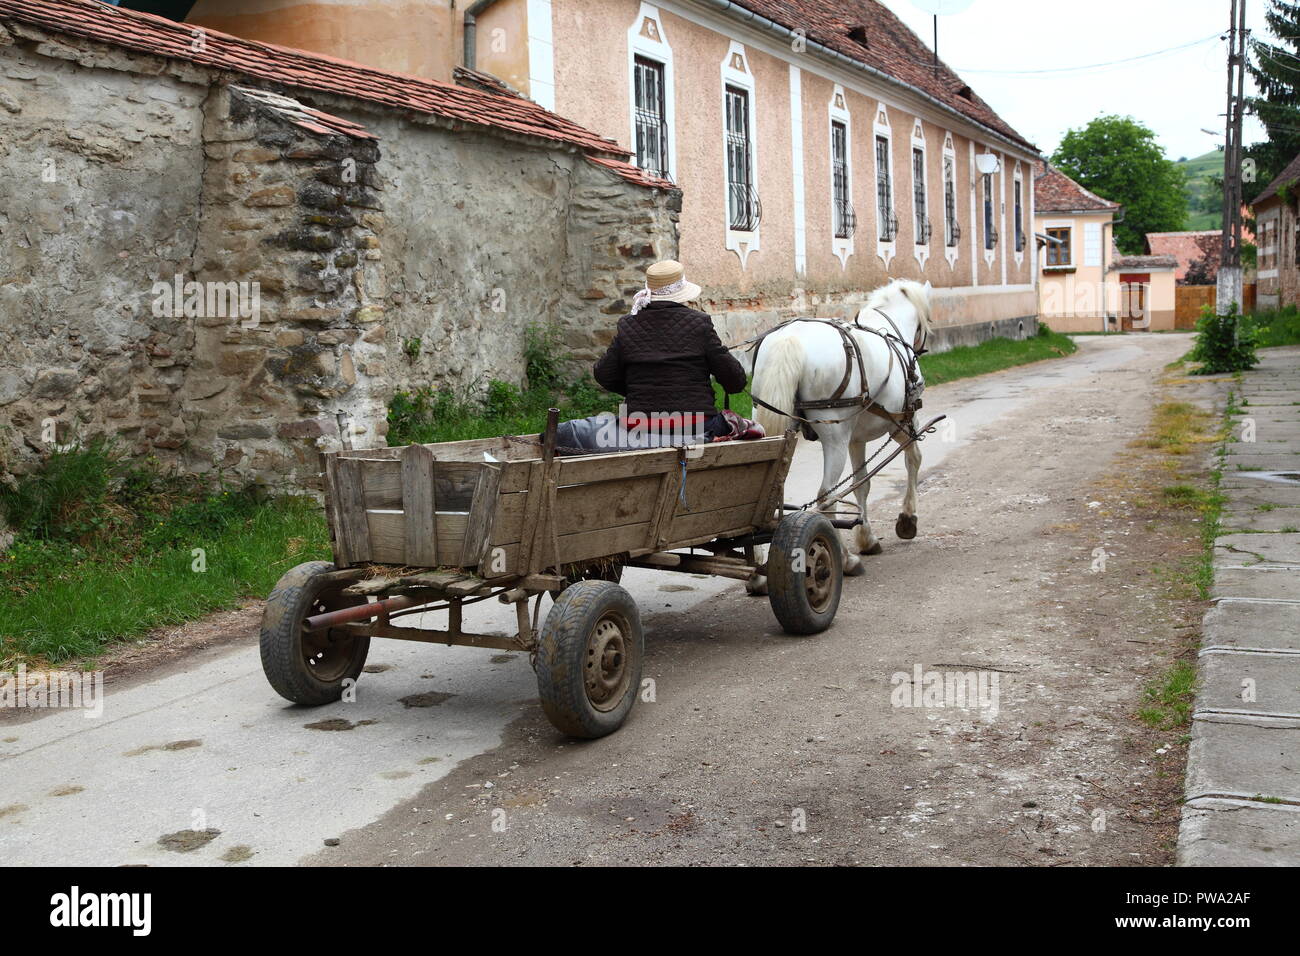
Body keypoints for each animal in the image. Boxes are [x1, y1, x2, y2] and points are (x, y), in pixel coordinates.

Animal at [738, 280, 930, 587]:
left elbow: (863, 484)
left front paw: (866, 538)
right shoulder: (902, 424)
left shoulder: (857, 439)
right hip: (835, 438)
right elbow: (914, 458)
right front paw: (907, 520)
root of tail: (791, 337)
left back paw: (757, 574)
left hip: (773, 424)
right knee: (827, 497)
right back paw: (845, 560)